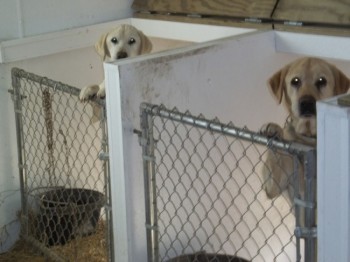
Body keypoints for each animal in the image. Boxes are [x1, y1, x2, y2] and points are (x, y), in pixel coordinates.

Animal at [262, 56, 348, 201]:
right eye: (295, 81)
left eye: (321, 81)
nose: (306, 102)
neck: (308, 136)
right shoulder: (273, 187)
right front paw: (273, 130)